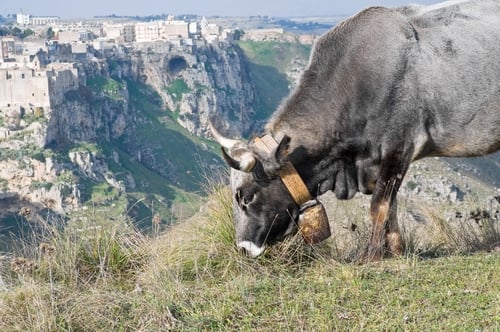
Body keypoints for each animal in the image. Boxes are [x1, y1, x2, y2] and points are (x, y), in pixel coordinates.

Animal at [211, 0, 500, 260]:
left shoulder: (399, 146)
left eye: (245, 197)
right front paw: (397, 252)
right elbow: (392, 207)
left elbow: (380, 206)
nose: (243, 247)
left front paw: (371, 256)